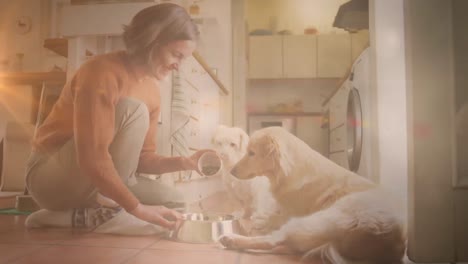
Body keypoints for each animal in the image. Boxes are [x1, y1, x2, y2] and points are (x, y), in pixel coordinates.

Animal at [219, 127, 406, 262]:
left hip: (314, 220)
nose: (232, 171)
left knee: (273, 240)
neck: (290, 172)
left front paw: (260, 220)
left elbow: (273, 218)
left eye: (251, 153)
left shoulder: (291, 211)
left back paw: (231, 239)